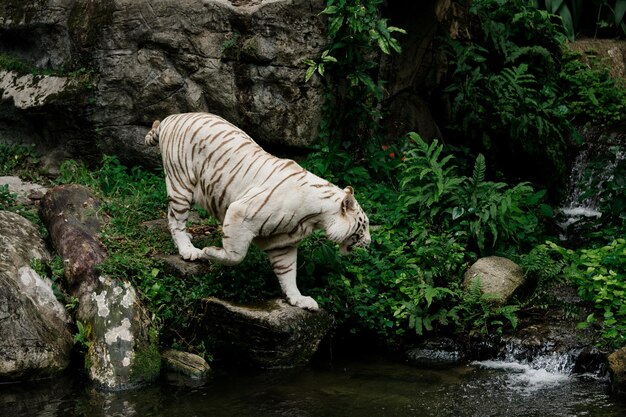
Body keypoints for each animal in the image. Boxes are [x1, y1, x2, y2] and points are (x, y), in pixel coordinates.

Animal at [145, 112, 370, 310]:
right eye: (364, 226)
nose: (369, 244)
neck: (314, 219)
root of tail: (171, 118)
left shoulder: (283, 242)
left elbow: (288, 273)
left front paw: (299, 300)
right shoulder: (240, 212)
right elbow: (235, 255)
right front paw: (209, 252)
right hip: (181, 185)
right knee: (175, 221)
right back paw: (188, 250)